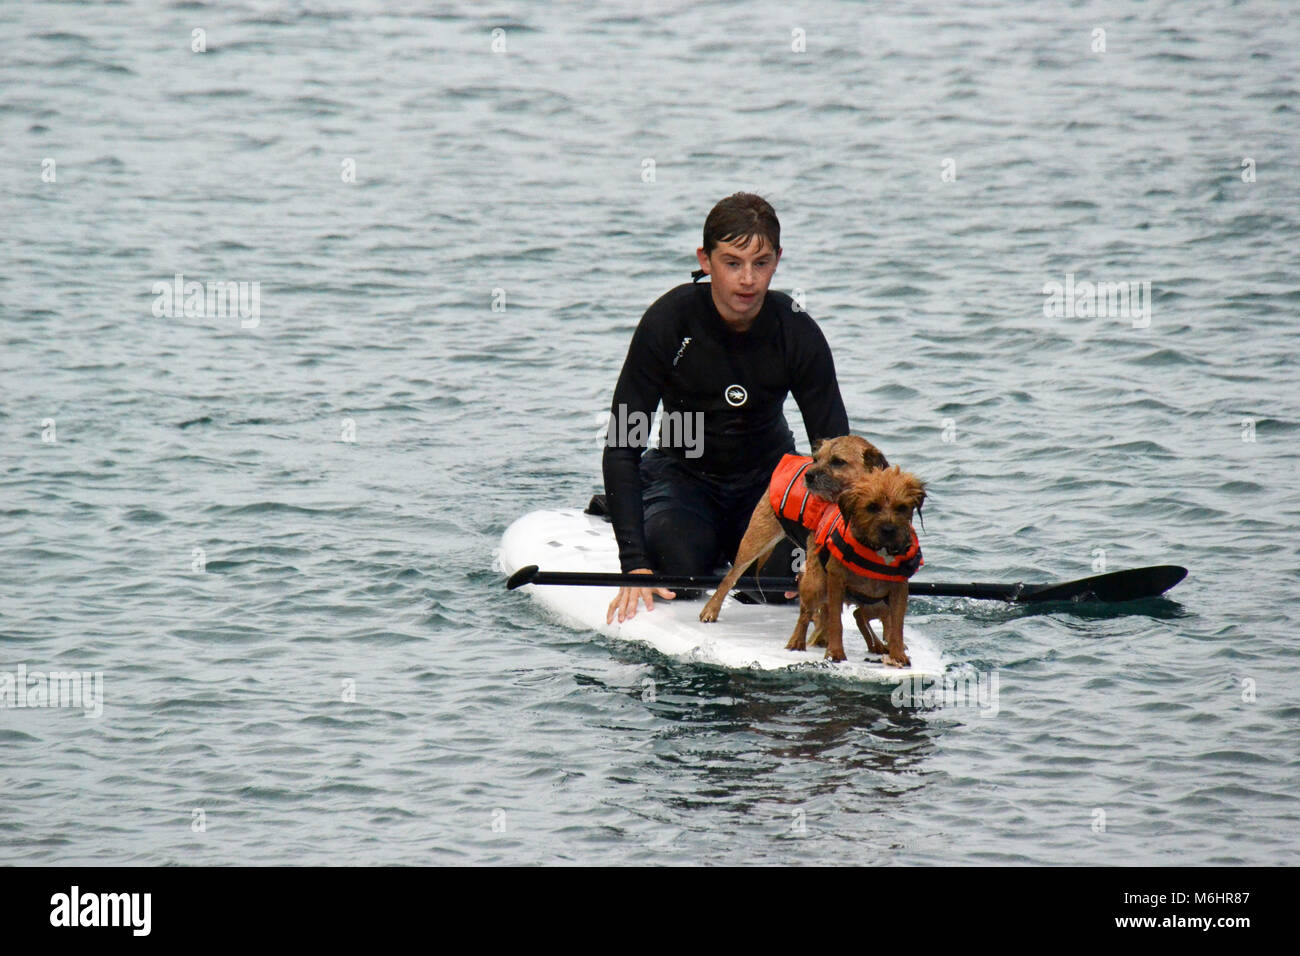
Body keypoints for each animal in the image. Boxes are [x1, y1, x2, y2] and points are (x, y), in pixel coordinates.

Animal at [696, 434, 889, 629]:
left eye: (838, 461)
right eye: (816, 459)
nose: (808, 475)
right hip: (756, 538)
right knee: (731, 576)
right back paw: (711, 609)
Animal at [780, 465, 925, 665]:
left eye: (902, 507)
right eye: (872, 506)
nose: (889, 530)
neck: (877, 550)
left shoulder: (899, 589)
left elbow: (897, 624)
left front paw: (897, 654)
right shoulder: (835, 581)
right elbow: (835, 622)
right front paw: (835, 652)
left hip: (877, 604)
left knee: (861, 616)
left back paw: (878, 646)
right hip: (816, 586)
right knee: (805, 613)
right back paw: (796, 642)